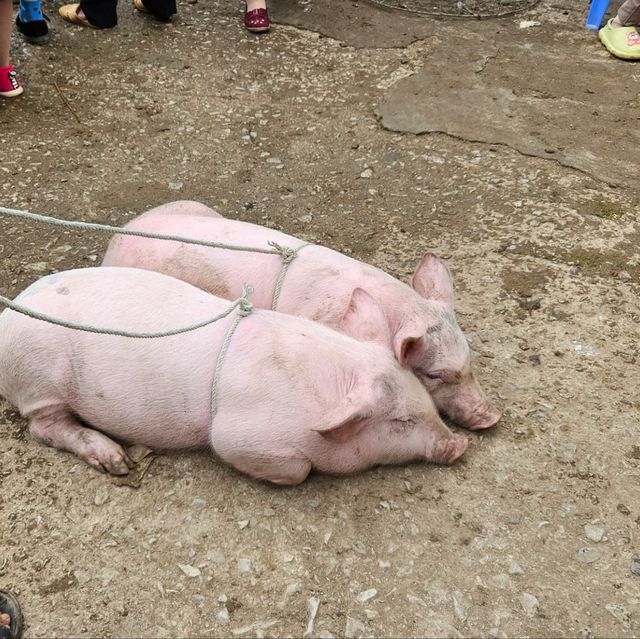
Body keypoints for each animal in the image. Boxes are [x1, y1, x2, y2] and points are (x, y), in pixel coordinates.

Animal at [0, 268, 464, 482]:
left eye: (422, 392)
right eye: (400, 421)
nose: (459, 446)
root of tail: (11, 311)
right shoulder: (236, 436)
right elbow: (296, 470)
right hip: (40, 383)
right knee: (43, 428)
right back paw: (119, 463)